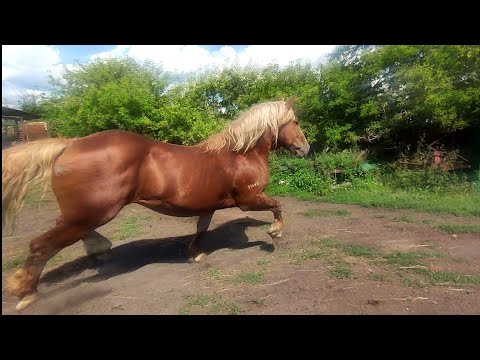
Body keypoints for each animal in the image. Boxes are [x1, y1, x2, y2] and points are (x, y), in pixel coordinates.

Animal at [1, 96, 310, 310]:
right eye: (295, 121)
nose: (305, 148)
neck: (240, 154)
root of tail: (71, 144)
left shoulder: (208, 205)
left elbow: (201, 228)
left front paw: (195, 254)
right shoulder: (248, 200)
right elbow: (277, 206)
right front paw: (275, 233)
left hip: (85, 213)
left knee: (70, 234)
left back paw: (99, 250)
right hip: (93, 212)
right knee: (41, 245)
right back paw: (26, 293)